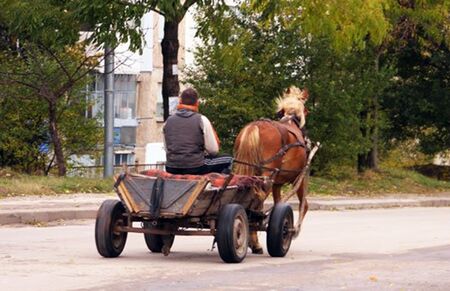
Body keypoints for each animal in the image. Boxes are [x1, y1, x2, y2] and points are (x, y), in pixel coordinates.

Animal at [232, 86, 310, 256]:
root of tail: (254, 127)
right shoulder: (299, 177)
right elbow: (304, 204)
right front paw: (294, 230)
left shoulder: (277, 184)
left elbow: (278, 203)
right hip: (266, 175)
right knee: (257, 201)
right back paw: (255, 243)